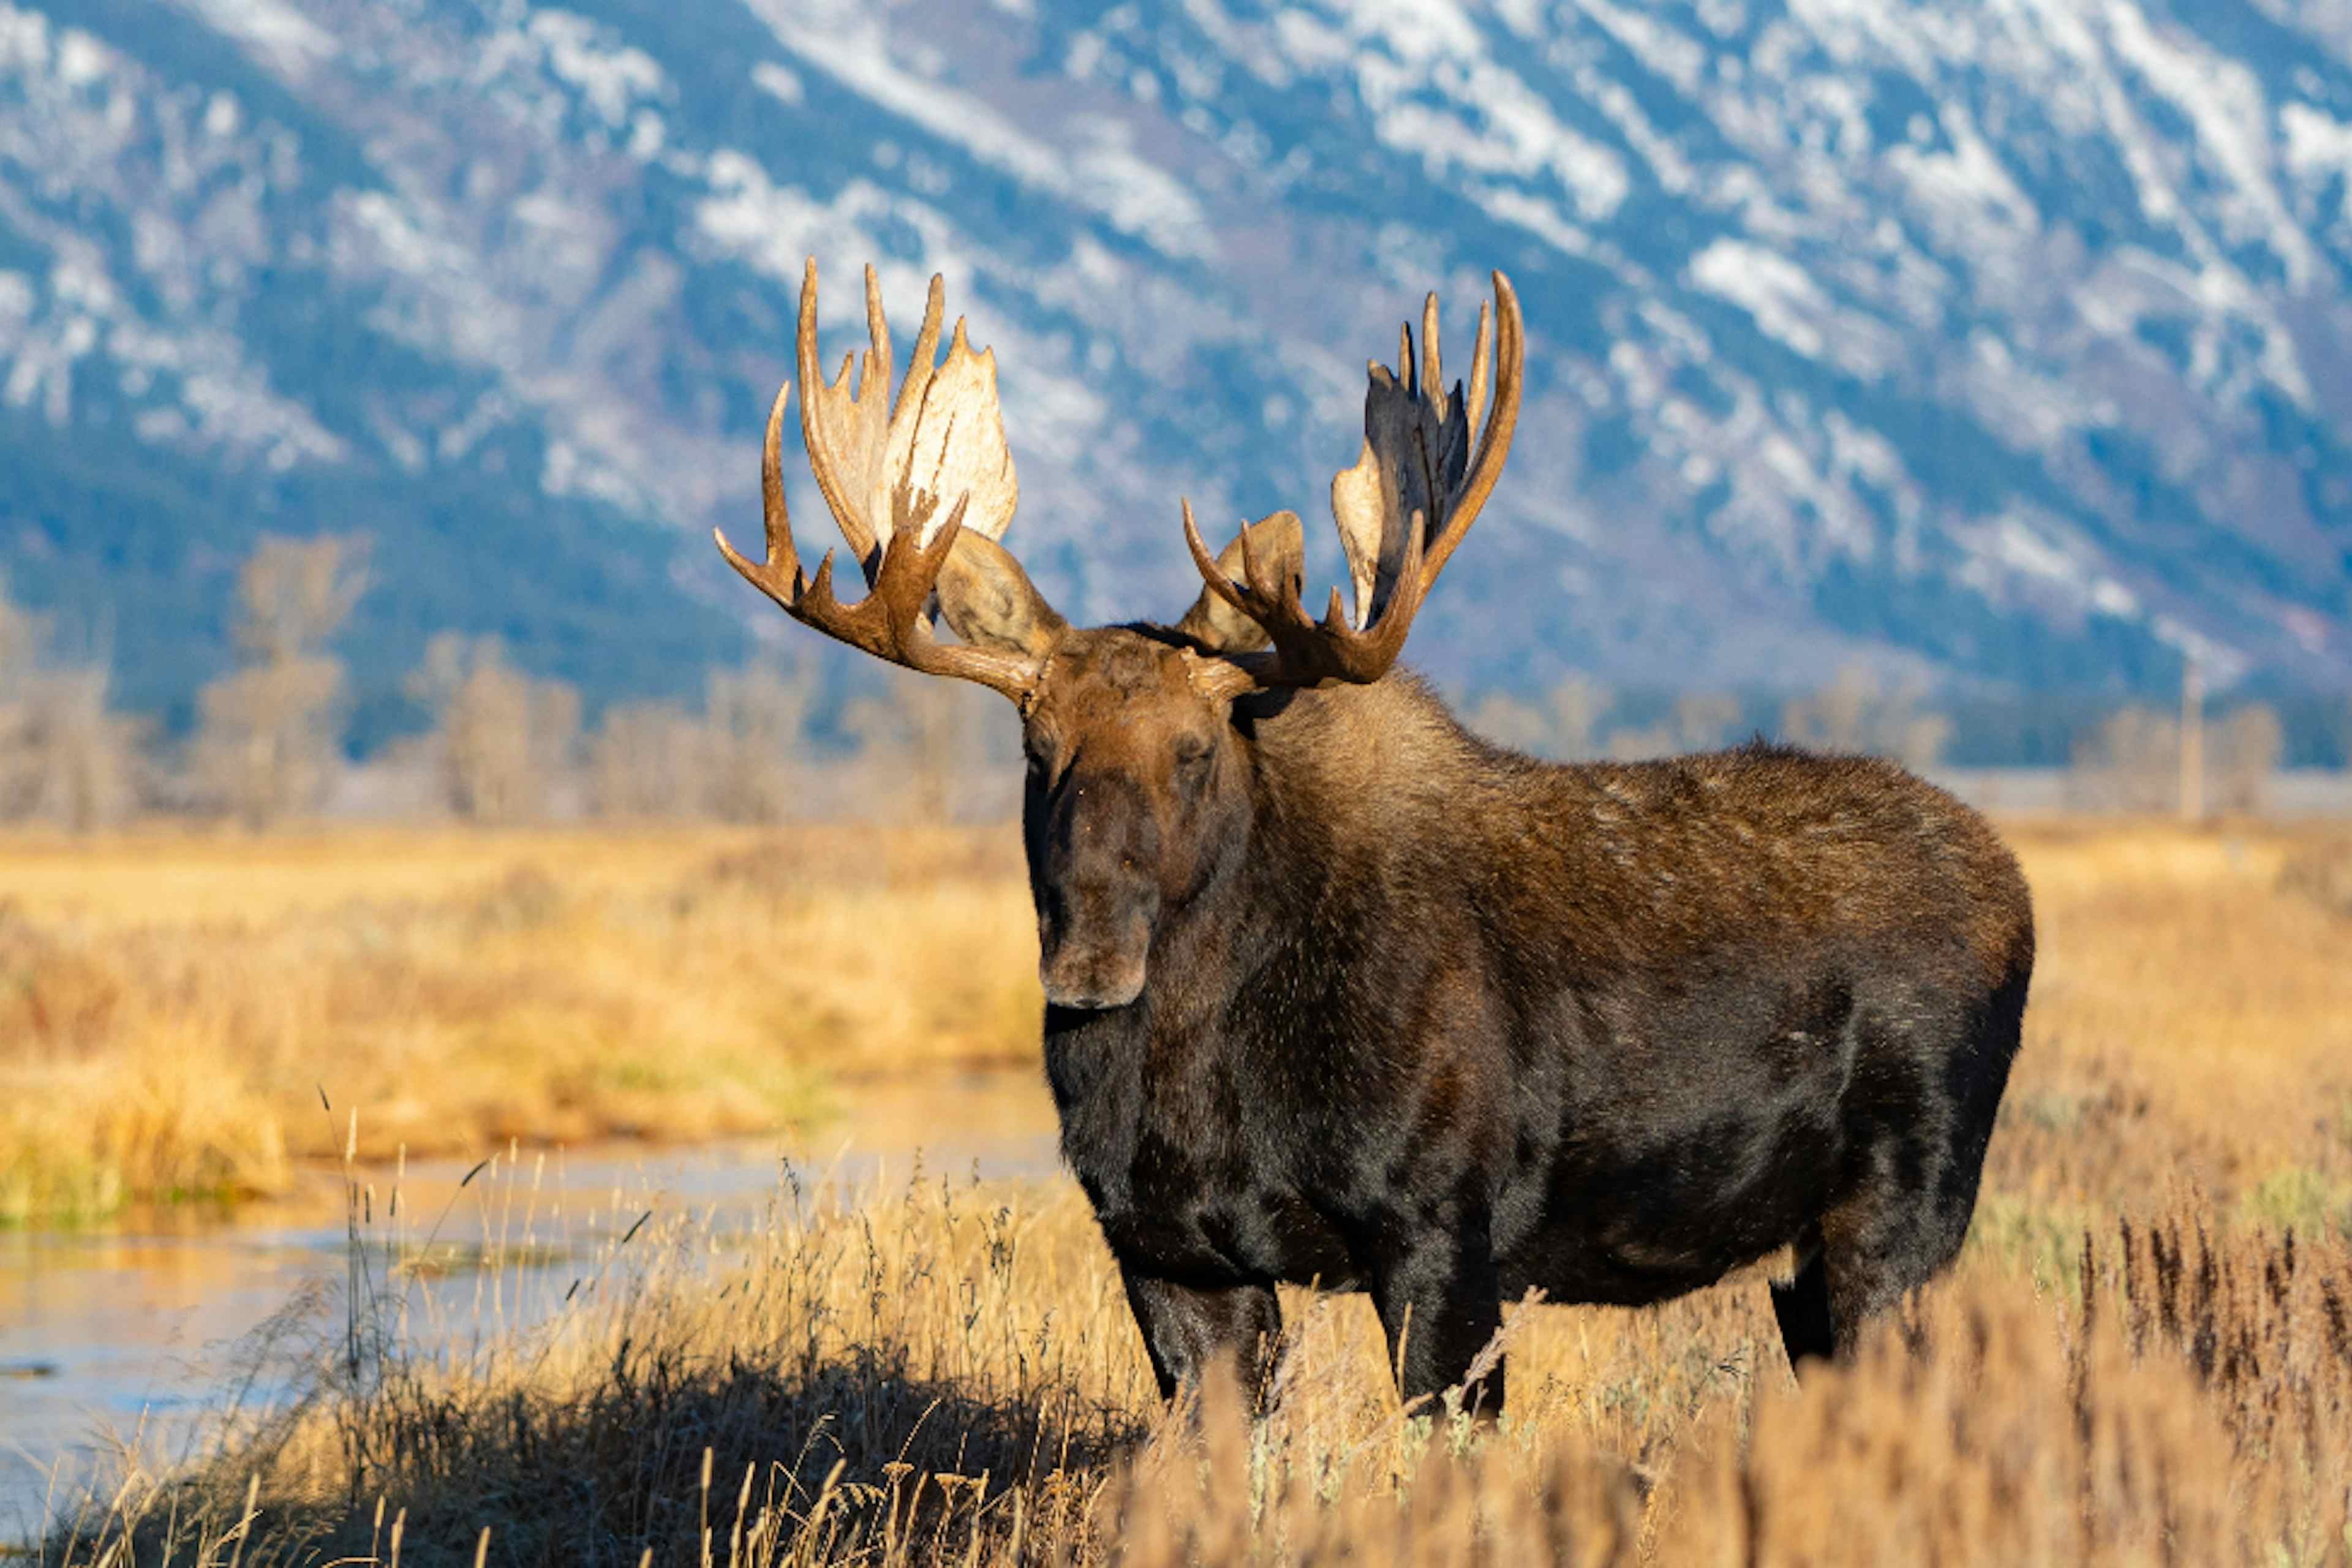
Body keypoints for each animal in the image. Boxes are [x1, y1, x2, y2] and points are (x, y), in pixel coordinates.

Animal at [715, 259, 2036, 1418]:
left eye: (1195, 750)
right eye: (1038, 748)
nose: (1091, 963)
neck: (1203, 1072)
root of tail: (2013, 886)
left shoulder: (1442, 1234)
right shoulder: (1171, 1255)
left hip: (1909, 1203)